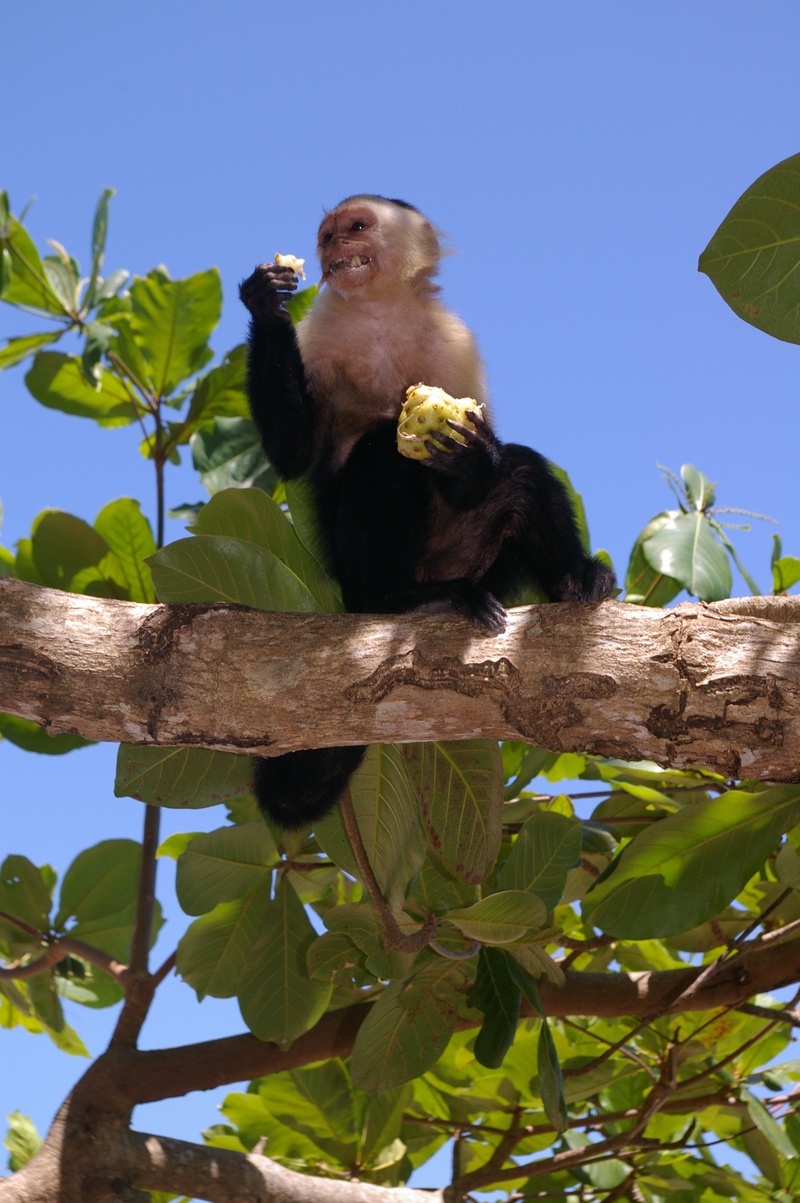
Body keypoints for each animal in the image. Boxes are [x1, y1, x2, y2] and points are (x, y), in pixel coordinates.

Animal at [239, 195, 615, 829]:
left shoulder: (452, 342)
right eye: (326, 235)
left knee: (520, 472)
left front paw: (473, 457)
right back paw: (405, 599)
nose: (332, 246)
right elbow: (296, 452)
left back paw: (575, 580)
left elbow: (483, 452)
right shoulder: (323, 333)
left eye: (356, 227)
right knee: (383, 455)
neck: (380, 316)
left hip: (483, 563)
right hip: (362, 572)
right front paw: (266, 304)